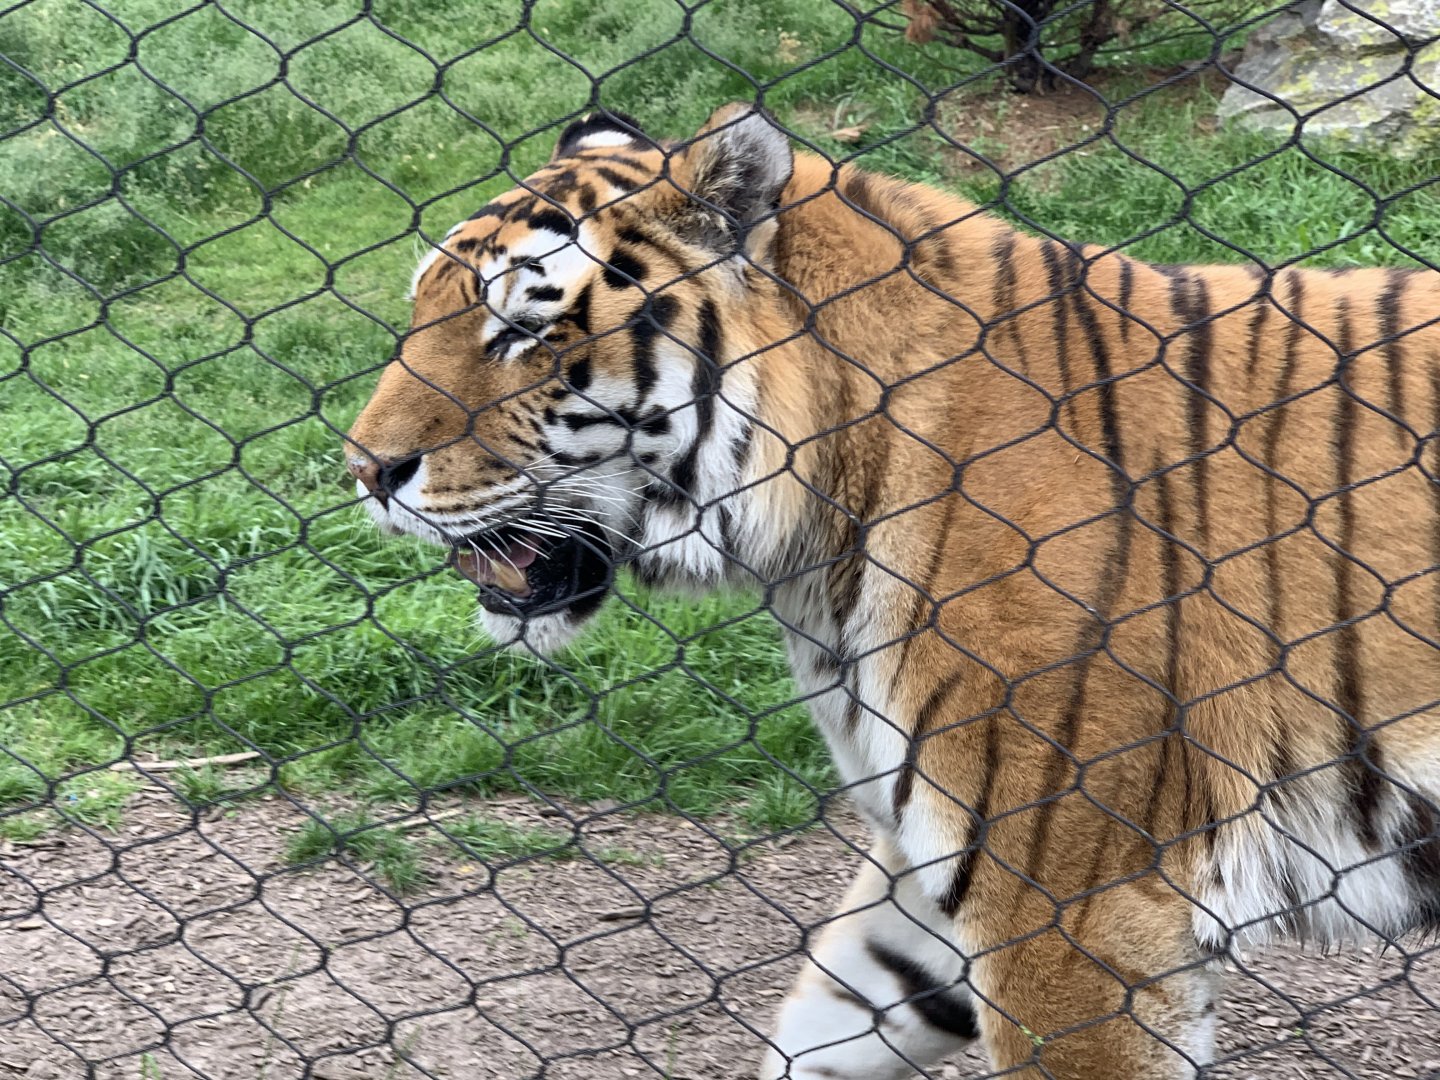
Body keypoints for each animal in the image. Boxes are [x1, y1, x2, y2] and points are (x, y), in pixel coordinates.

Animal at [343, 103, 1440, 1079]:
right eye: (421, 307)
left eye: (523, 329)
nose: (363, 469)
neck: (812, 547)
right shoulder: (927, 870)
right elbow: (824, 1034)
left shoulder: (1074, 913)